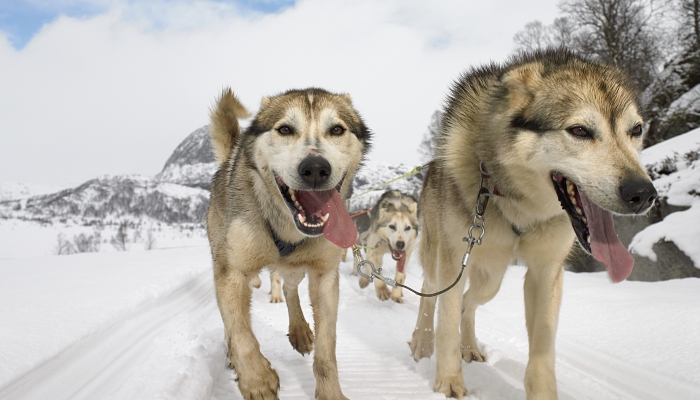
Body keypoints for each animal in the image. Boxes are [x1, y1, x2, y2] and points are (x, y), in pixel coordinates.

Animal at [206, 87, 372, 400]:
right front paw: (257, 379)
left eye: (336, 129)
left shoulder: (324, 276)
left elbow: (326, 349)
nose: (316, 168)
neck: (287, 229)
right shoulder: (231, 273)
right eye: (284, 129)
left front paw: (330, 391)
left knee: (290, 289)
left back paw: (299, 331)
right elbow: (241, 334)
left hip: (296, 268)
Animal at [408, 48, 660, 398]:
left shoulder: (546, 271)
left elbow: (542, 349)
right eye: (579, 131)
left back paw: (469, 347)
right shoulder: (453, 262)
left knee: (468, 304)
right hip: (443, 261)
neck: (515, 203)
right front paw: (448, 383)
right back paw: (421, 341)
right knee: (430, 292)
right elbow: (445, 324)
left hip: (491, 278)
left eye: (635, 130)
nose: (643, 193)